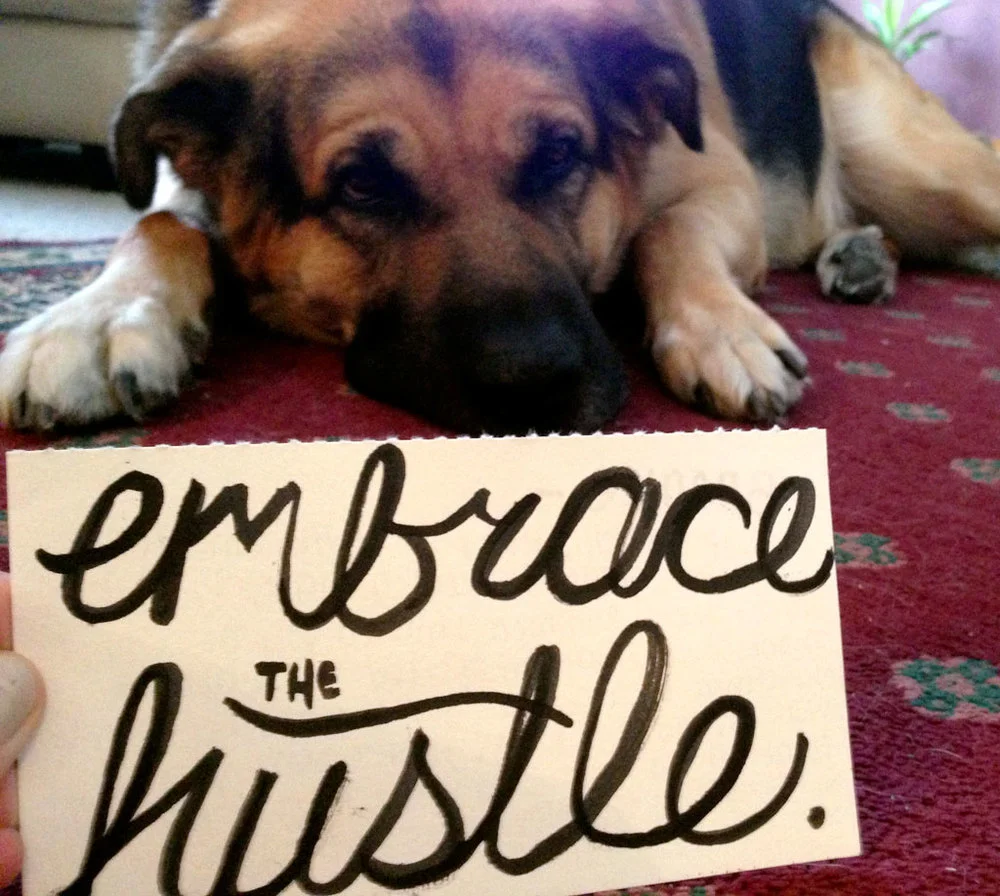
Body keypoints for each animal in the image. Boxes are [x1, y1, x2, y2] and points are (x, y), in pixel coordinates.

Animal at [3, 0, 1000, 435]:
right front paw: (89, 319)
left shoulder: (720, 183)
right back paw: (859, 255)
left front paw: (723, 331)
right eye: (363, 185)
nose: (536, 389)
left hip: (918, 167)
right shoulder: (184, 191)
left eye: (559, 155)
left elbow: (663, 230)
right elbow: (157, 223)